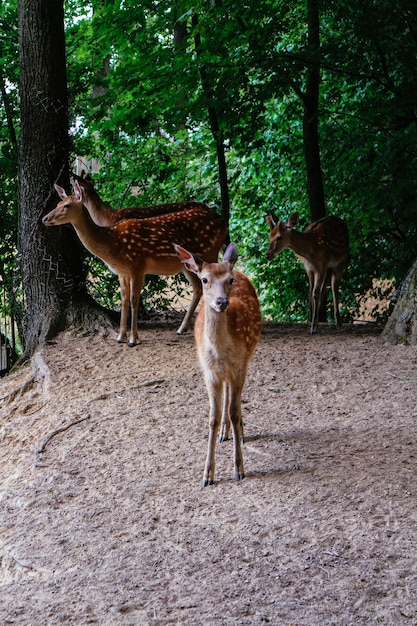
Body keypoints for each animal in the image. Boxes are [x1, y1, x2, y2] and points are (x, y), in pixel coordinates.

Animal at [42, 183, 228, 346]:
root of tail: (224, 223)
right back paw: (181, 329)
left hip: (209, 251)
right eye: (57, 203)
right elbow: (124, 299)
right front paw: (120, 337)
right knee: (198, 288)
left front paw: (133, 339)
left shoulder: (138, 266)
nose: (44, 218)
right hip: (187, 264)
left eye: (66, 205)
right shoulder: (122, 271)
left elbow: (134, 299)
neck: (113, 245)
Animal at [175, 241, 260, 486]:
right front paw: (207, 474)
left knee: (235, 401)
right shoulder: (209, 371)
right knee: (227, 398)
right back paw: (225, 432)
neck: (221, 352)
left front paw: (239, 469)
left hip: (246, 359)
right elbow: (212, 417)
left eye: (229, 280)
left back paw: (239, 432)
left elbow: (234, 410)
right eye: (204, 279)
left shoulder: (239, 365)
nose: (221, 302)